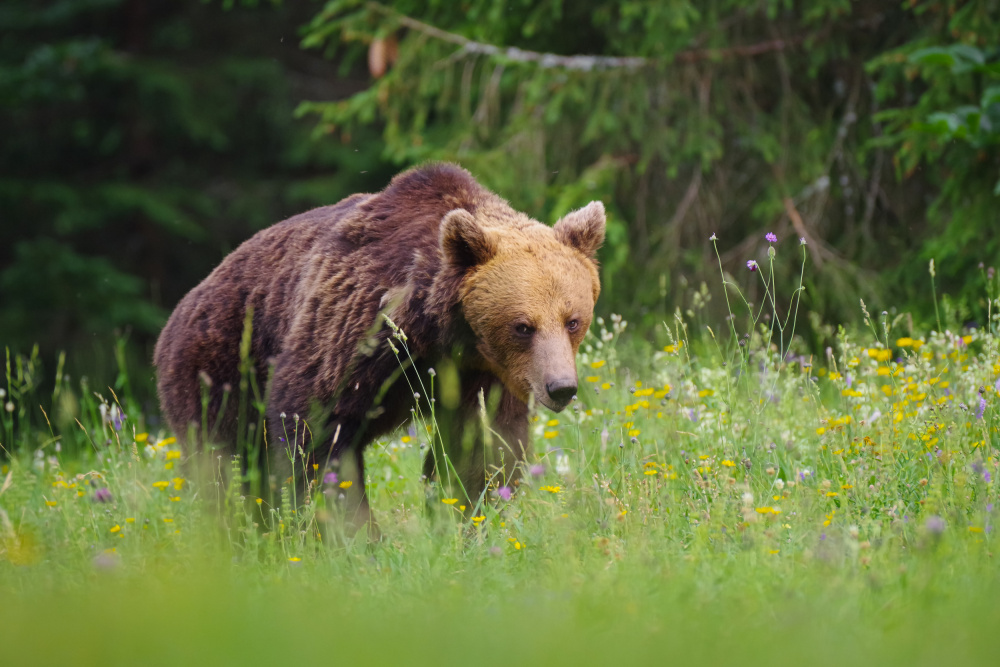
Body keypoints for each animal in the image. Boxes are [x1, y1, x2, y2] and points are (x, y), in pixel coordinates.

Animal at [153, 163, 604, 532]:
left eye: (573, 320)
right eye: (523, 326)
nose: (560, 387)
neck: (440, 331)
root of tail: (183, 307)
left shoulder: (484, 375)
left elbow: (480, 447)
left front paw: (464, 517)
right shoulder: (355, 330)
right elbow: (316, 432)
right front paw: (352, 534)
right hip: (220, 365)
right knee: (224, 464)